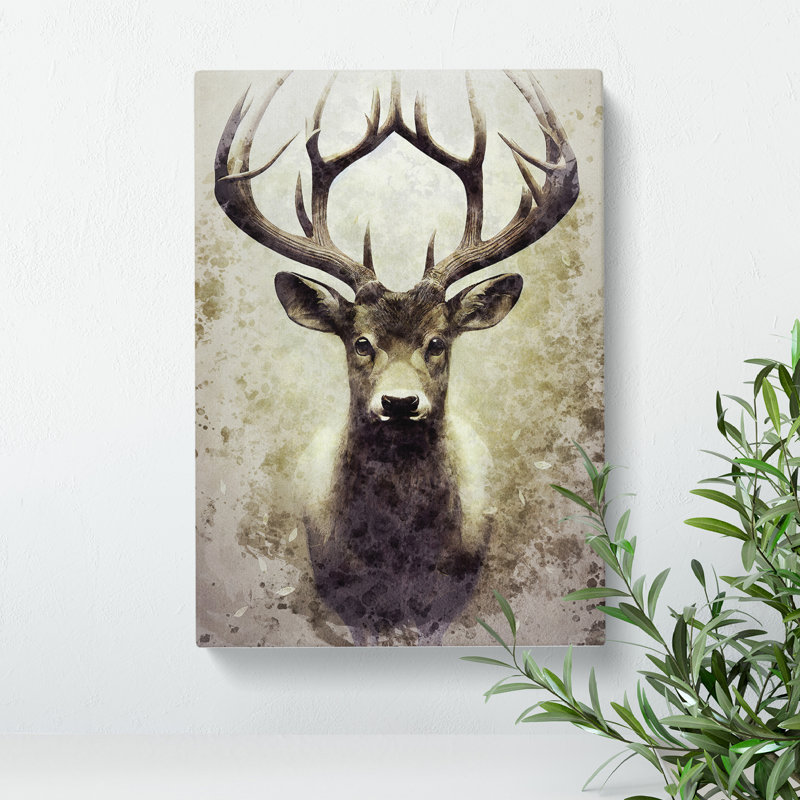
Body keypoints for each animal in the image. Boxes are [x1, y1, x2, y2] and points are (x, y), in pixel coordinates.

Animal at [214, 71, 579, 645]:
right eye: (360, 341)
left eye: (438, 341)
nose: (401, 403)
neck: (397, 559)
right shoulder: (344, 592)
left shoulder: (448, 595)